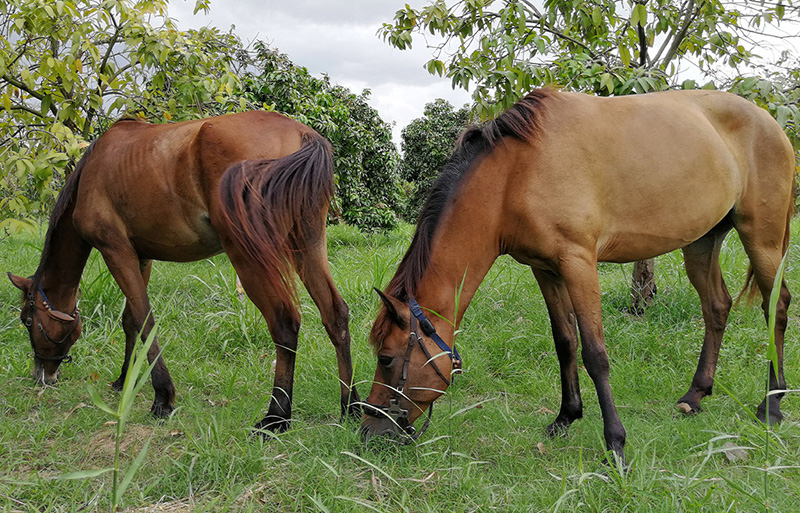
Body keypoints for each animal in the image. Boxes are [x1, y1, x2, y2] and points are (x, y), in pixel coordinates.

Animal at [7, 110, 361, 432]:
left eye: (28, 320)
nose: (43, 375)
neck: (92, 169)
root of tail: (302, 133)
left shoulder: (115, 251)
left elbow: (144, 320)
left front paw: (162, 397)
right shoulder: (141, 257)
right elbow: (131, 321)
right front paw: (125, 379)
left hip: (248, 256)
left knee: (285, 323)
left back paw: (277, 416)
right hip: (308, 244)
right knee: (335, 314)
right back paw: (351, 407)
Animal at [361, 89, 794, 462]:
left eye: (386, 358)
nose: (369, 431)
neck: (516, 174)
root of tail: (770, 121)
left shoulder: (579, 263)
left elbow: (595, 353)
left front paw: (615, 444)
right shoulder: (545, 269)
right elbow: (565, 342)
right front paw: (566, 417)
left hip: (763, 239)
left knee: (777, 307)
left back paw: (772, 403)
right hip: (702, 244)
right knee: (717, 307)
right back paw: (696, 395)